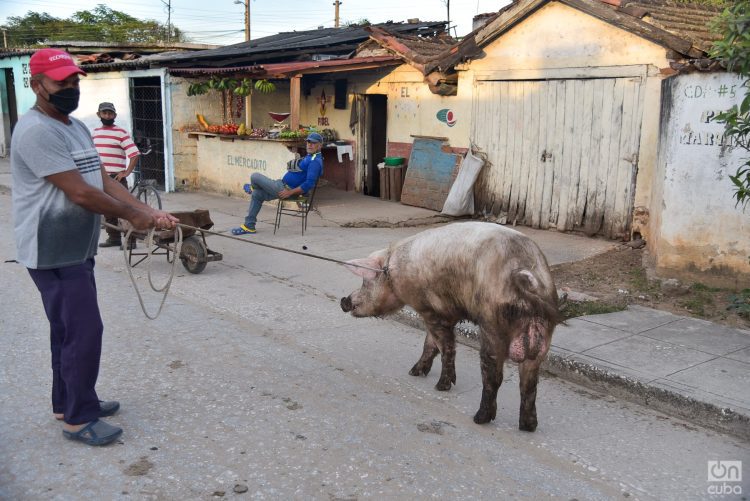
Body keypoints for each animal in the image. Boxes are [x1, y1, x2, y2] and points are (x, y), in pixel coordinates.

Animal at [342, 222, 564, 430]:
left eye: (365, 281)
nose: (344, 301)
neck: (391, 270)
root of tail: (527, 272)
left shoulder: (429, 309)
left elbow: (444, 347)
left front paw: (440, 386)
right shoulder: (443, 313)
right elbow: (430, 344)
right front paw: (414, 372)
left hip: (492, 325)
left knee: (494, 376)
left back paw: (479, 418)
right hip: (543, 337)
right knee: (529, 383)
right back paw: (528, 426)